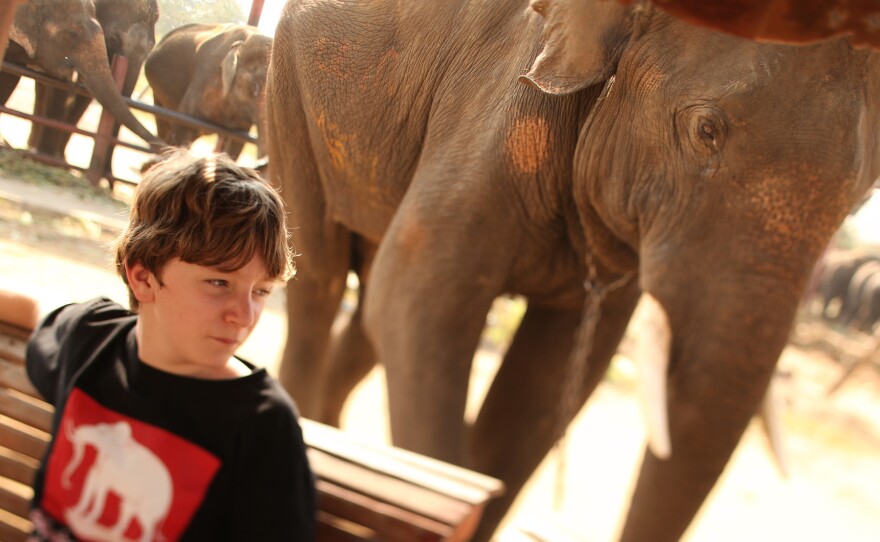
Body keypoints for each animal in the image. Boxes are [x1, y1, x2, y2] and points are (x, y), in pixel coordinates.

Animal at [264, 1, 880, 542]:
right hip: (290, 88)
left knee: (366, 317)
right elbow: (418, 298)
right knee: (319, 282)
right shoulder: (502, 103)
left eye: (859, 201)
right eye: (706, 129)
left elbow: (547, 379)